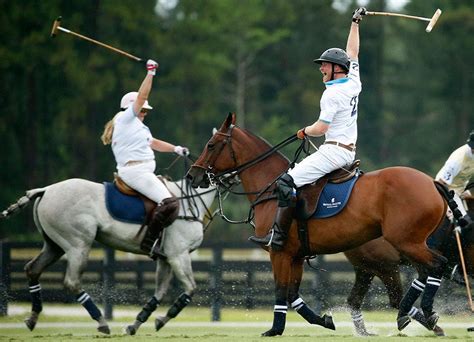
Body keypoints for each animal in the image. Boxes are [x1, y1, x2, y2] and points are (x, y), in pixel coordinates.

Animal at [0, 176, 217, 334]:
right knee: (72, 282)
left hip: (54, 245)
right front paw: (160, 321)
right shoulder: (178, 255)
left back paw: (32, 318)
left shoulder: (165, 257)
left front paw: (135, 325)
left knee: (32, 269)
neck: (192, 200)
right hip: (77, 245)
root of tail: (45, 190)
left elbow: (159, 293)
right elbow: (189, 289)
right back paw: (101, 321)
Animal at [185, 113, 452, 336]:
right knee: (426, 272)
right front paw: (325, 320)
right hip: (402, 248)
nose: (192, 176)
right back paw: (419, 317)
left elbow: (280, 290)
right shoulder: (297, 256)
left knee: (436, 266)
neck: (270, 188)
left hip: (405, 242)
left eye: (211, 145)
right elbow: (293, 295)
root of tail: (432, 182)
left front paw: (274, 330)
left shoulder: (279, 252)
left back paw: (422, 314)